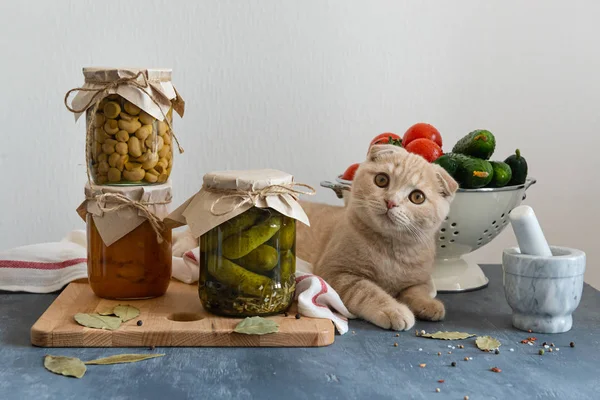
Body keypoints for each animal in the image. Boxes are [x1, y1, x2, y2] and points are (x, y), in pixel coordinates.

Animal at [296, 145, 460, 330]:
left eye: (417, 197)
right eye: (382, 180)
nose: (391, 202)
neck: (390, 249)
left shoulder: (422, 279)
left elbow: (417, 290)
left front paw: (429, 304)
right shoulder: (336, 272)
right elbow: (367, 290)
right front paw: (394, 310)